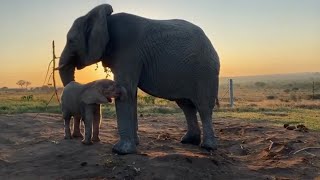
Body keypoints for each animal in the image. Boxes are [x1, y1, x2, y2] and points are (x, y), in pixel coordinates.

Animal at [57, 3, 220, 154]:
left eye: (71, 40)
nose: (77, 138)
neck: (105, 19)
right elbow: (131, 94)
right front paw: (134, 144)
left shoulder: (127, 51)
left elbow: (127, 90)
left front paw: (121, 151)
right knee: (186, 105)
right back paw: (188, 141)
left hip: (205, 72)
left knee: (203, 106)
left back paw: (208, 147)